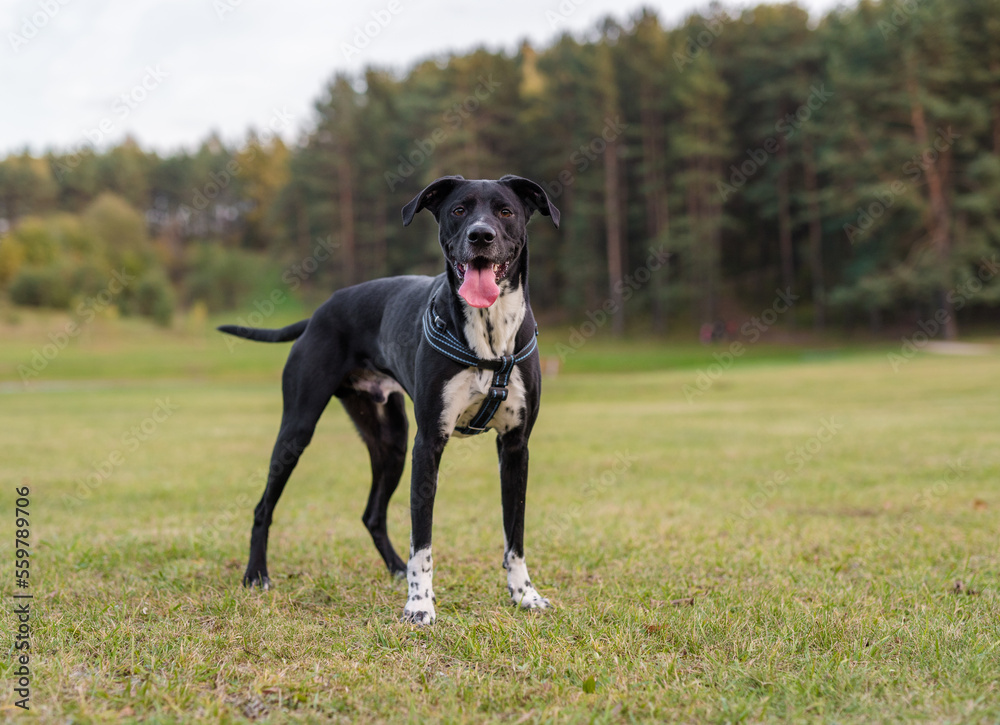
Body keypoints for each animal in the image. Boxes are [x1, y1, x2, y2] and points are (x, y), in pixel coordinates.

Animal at [218, 175, 560, 624]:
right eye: (459, 210)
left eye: (505, 211)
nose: (480, 235)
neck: (488, 334)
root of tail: (319, 312)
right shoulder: (428, 445)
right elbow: (423, 540)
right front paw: (420, 605)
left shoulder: (516, 446)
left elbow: (514, 534)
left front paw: (524, 595)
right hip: (298, 430)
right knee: (264, 507)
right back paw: (256, 574)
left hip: (391, 441)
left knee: (372, 514)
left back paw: (395, 568)